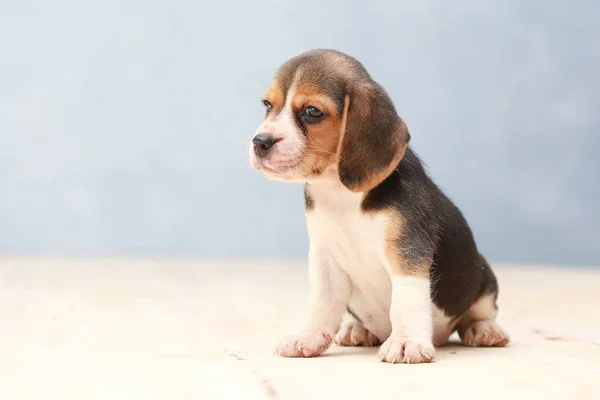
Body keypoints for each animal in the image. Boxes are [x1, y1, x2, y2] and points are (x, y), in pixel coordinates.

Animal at [250, 49, 510, 362]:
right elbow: (322, 303)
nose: (260, 142)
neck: (340, 193)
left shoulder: (407, 254)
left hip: (482, 277)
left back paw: (485, 330)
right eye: (268, 105)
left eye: (312, 112)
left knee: (480, 312)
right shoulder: (325, 257)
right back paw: (358, 329)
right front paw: (308, 337)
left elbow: (405, 302)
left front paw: (406, 341)